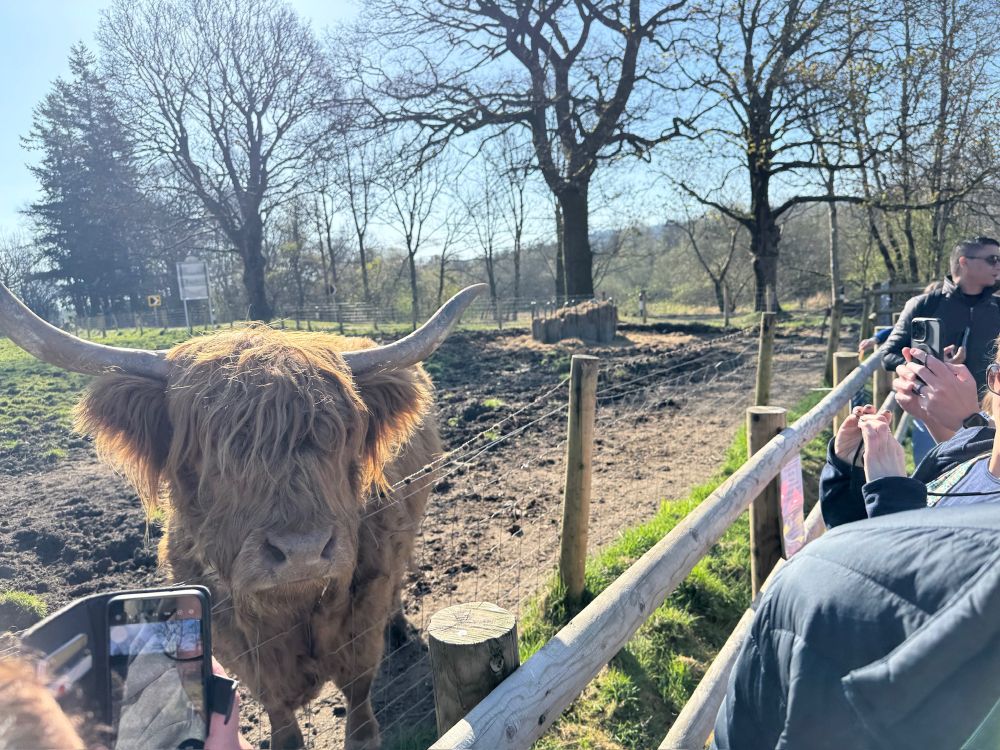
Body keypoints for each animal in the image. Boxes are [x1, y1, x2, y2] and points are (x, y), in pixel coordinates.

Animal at [0, 282, 486, 749]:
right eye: (210, 453)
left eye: (341, 437)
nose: (303, 551)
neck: (292, 610)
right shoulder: (233, 639)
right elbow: (276, 709)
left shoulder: (365, 605)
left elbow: (359, 688)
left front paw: (364, 734)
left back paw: (400, 627)